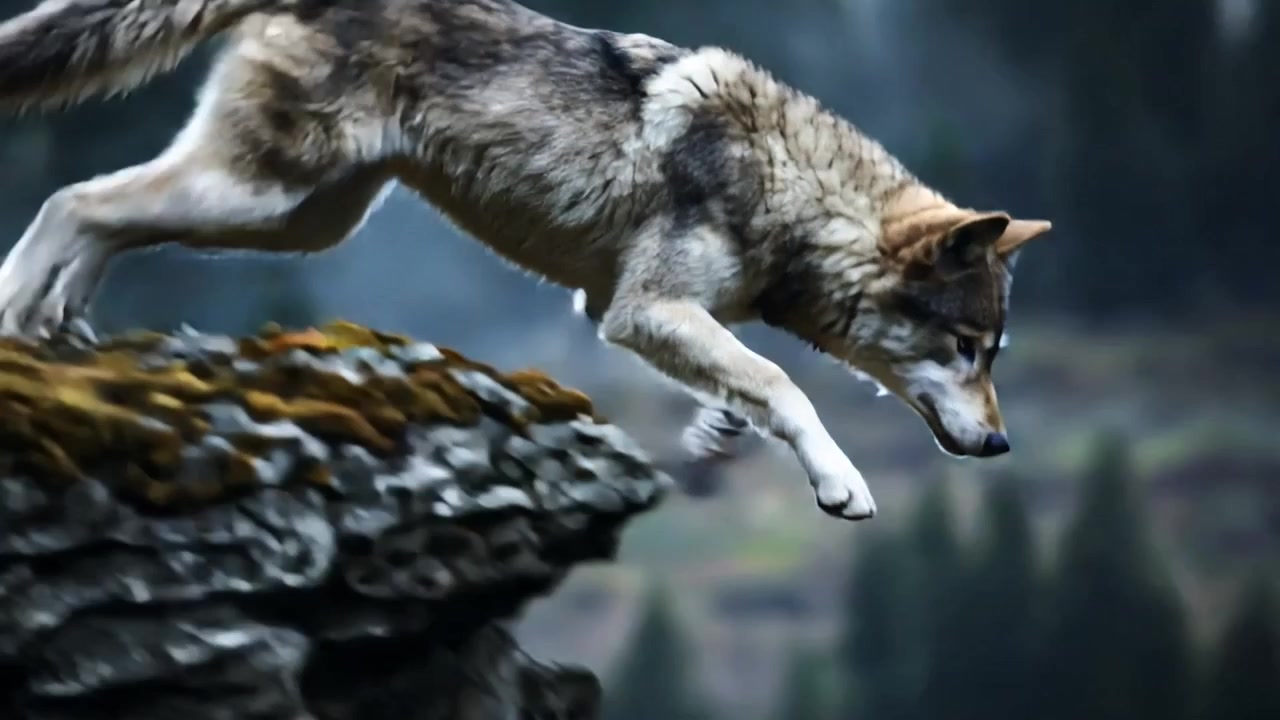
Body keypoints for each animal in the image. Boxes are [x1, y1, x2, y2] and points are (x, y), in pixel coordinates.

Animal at [0, 0, 1051, 521]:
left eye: (994, 353)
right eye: (967, 348)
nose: (1003, 447)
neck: (790, 184)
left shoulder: (642, 314)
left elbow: (747, 390)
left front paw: (717, 439)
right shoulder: (642, 310)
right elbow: (786, 385)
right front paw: (842, 485)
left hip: (291, 220)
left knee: (107, 217)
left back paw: (63, 322)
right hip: (259, 197)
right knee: (73, 198)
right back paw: (21, 316)